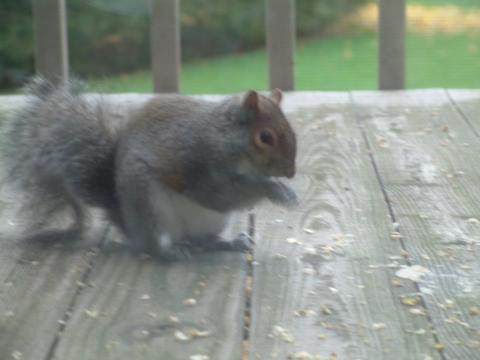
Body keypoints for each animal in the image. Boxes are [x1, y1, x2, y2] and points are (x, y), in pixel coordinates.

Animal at [1, 77, 298, 260]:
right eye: (266, 137)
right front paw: (275, 190)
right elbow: (219, 194)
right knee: (157, 245)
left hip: (209, 221)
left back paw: (229, 242)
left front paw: (286, 189)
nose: (291, 172)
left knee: (202, 239)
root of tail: (131, 227)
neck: (222, 136)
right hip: (148, 201)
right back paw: (171, 252)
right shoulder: (200, 164)